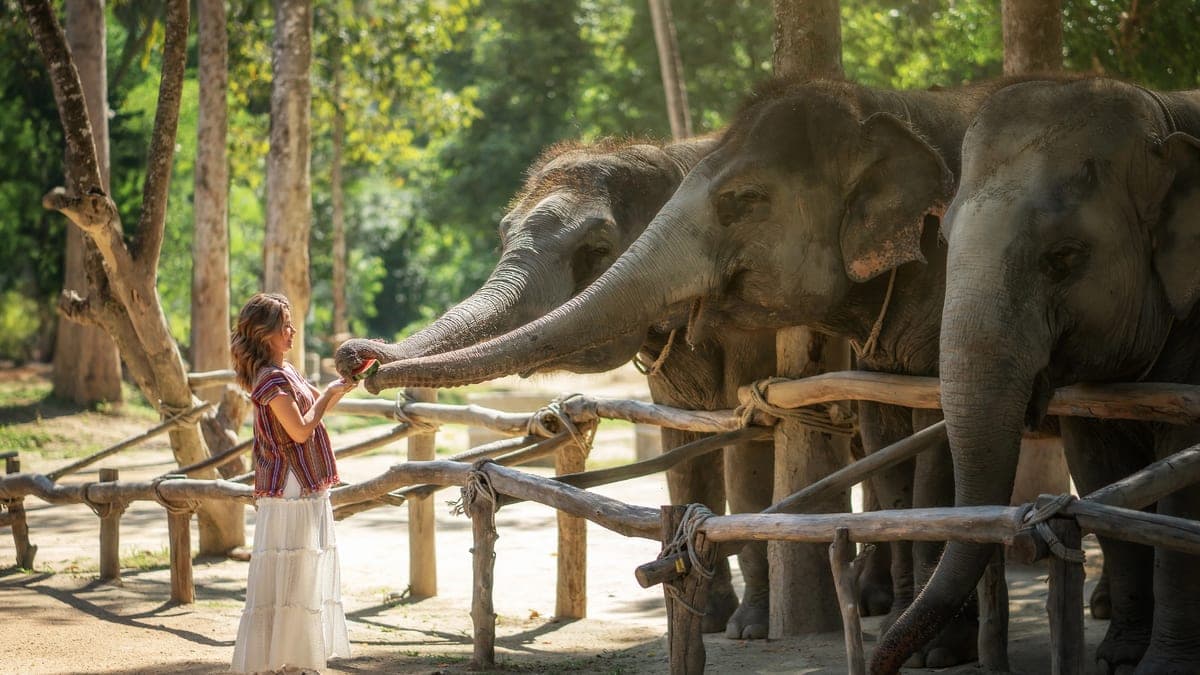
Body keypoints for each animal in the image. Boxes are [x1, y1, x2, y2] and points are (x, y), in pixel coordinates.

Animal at [335, 136, 786, 637]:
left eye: (597, 248)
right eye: (503, 236)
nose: (358, 358)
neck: (677, 156)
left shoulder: (758, 323)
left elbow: (751, 450)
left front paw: (748, 628)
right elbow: (684, 452)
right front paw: (708, 621)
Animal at [872, 78, 1200, 674]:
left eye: (1064, 256)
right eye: (944, 243)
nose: (883, 660)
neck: (1162, 114)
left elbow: (1184, 486)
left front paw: (1163, 668)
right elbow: (1097, 474)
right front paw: (1118, 660)